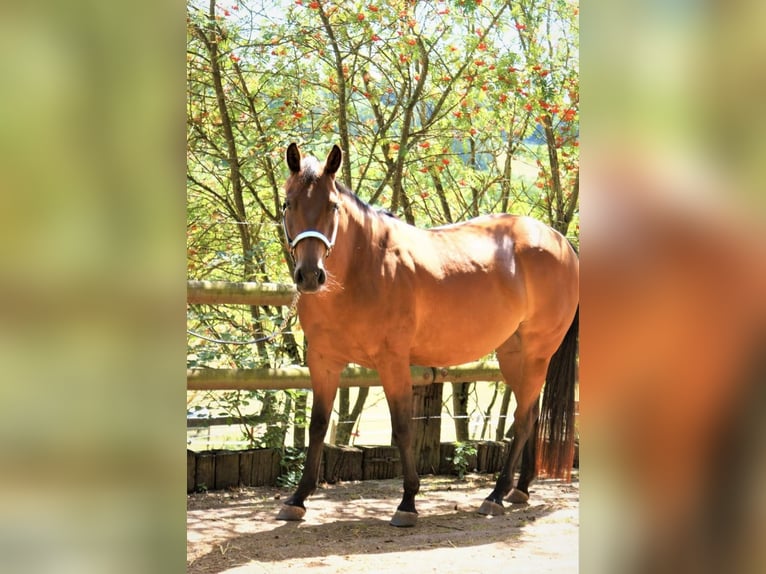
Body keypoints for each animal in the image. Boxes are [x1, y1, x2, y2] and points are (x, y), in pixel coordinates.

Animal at [276, 142, 579, 527]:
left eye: (332, 205)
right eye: (288, 203)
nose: (310, 275)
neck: (365, 266)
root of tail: (562, 243)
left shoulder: (392, 362)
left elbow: (404, 427)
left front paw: (407, 502)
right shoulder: (323, 361)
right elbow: (317, 426)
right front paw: (297, 499)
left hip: (538, 353)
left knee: (523, 421)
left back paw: (495, 496)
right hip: (514, 356)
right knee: (532, 415)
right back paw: (519, 489)